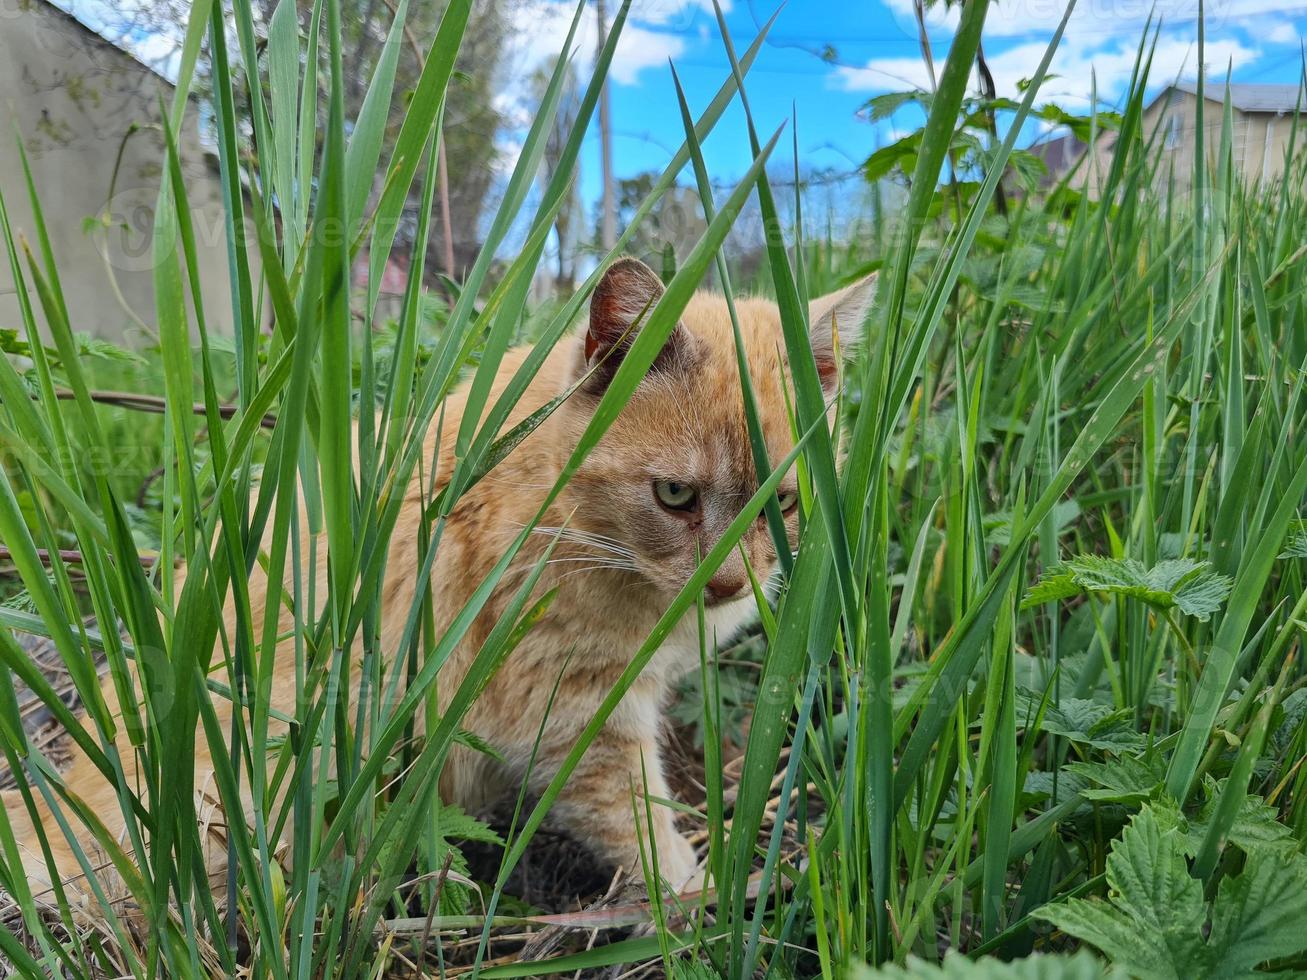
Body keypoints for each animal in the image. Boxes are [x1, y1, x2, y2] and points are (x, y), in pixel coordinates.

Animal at [7, 258, 878, 904]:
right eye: (674, 495)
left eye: (786, 503)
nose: (729, 586)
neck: (562, 504)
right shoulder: (574, 714)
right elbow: (639, 823)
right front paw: (699, 899)